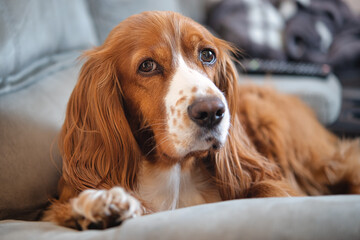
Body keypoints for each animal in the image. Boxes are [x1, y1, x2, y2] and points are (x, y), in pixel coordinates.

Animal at [44, 11, 360, 231]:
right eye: (147, 66)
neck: (174, 172)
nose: (212, 111)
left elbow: (272, 190)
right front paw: (101, 206)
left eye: (207, 54)